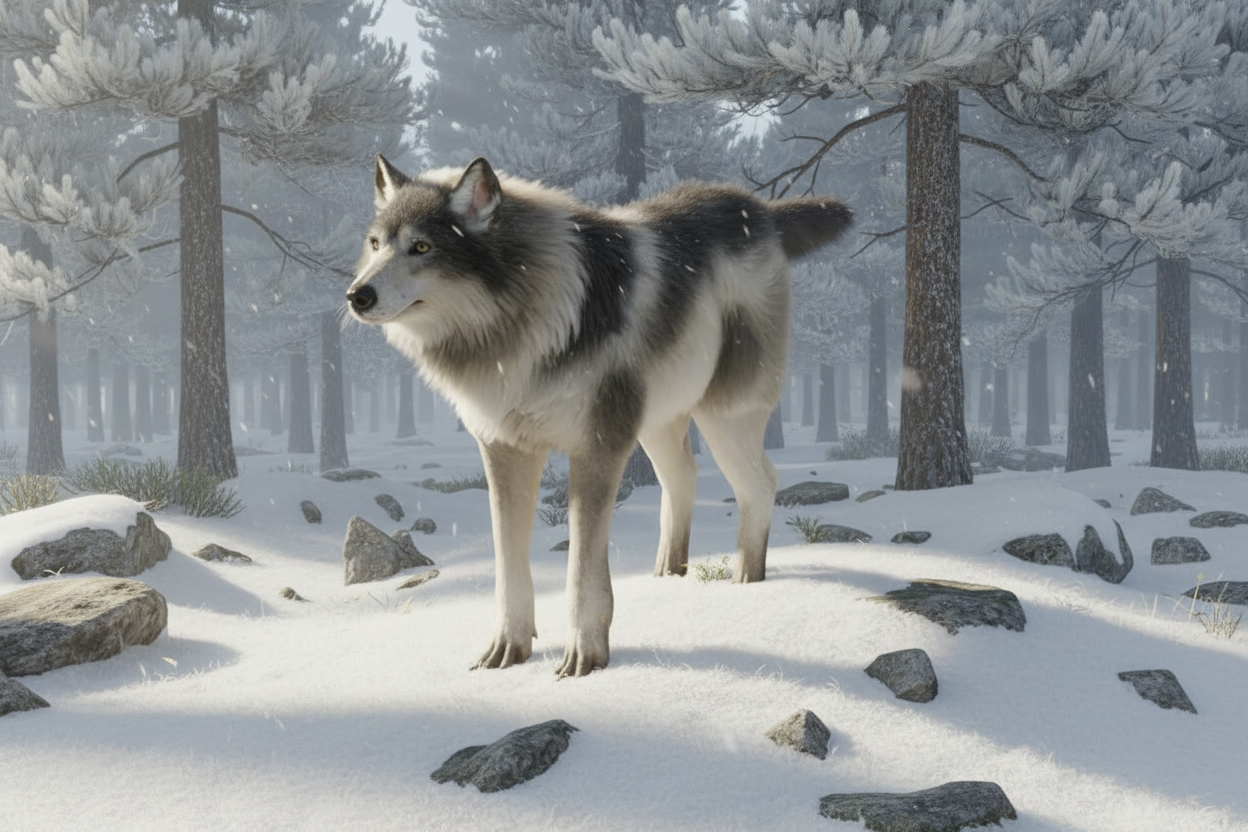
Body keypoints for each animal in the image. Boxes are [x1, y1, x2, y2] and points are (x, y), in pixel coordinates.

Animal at [347, 156, 851, 677]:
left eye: (422, 246)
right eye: (376, 244)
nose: (356, 295)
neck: (523, 326)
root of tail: (761, 210)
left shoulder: (597, 446)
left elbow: (582, 571)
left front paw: (584, 657)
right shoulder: (503, 448)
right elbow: (508, 563)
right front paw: (507, 650)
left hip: (723, 415)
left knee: (760, 483)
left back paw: (745, 583)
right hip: (658, 424)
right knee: (684, 478)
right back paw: (667, 574)